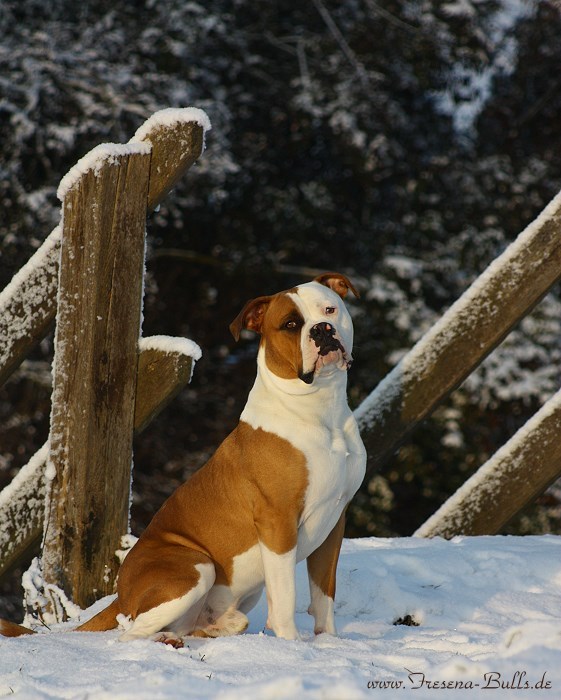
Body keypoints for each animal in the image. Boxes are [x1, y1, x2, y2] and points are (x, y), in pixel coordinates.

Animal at [0, 272, 366, 644]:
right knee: (129, 633)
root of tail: (121, 593)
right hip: (195, 566)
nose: (322, 330)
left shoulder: (335, 521)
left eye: (329, 309)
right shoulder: (278, 523)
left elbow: (323, 594)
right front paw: (292, 644)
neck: (321, 410)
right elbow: (286, 598)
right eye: (290, 324)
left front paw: (328, 642)